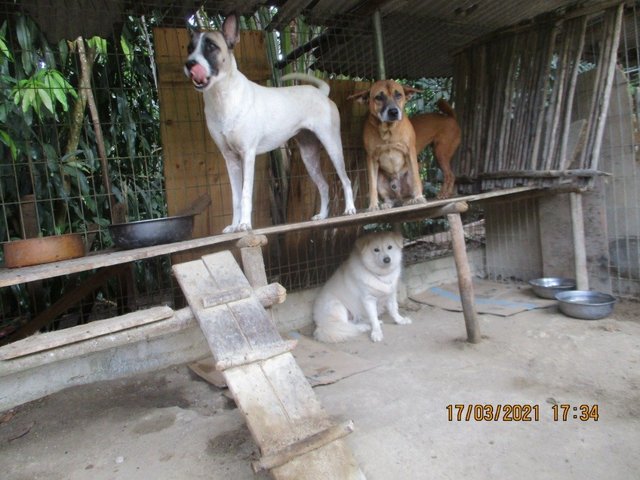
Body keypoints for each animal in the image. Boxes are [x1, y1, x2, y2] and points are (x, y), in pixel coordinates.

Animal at [350, 80, 424, 210]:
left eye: (398, 95)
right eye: (379, 97)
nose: (393, 112)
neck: (388, 130)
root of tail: (399, 197)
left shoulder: (410, 151)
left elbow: (416, 178)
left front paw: (419, 197)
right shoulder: (371, 158)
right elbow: (372, 186)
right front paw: (373, 205)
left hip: (408, 176)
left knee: (409, 190)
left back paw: (410, 200)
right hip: (381, 180)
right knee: (389, 197)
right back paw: (387, 204)